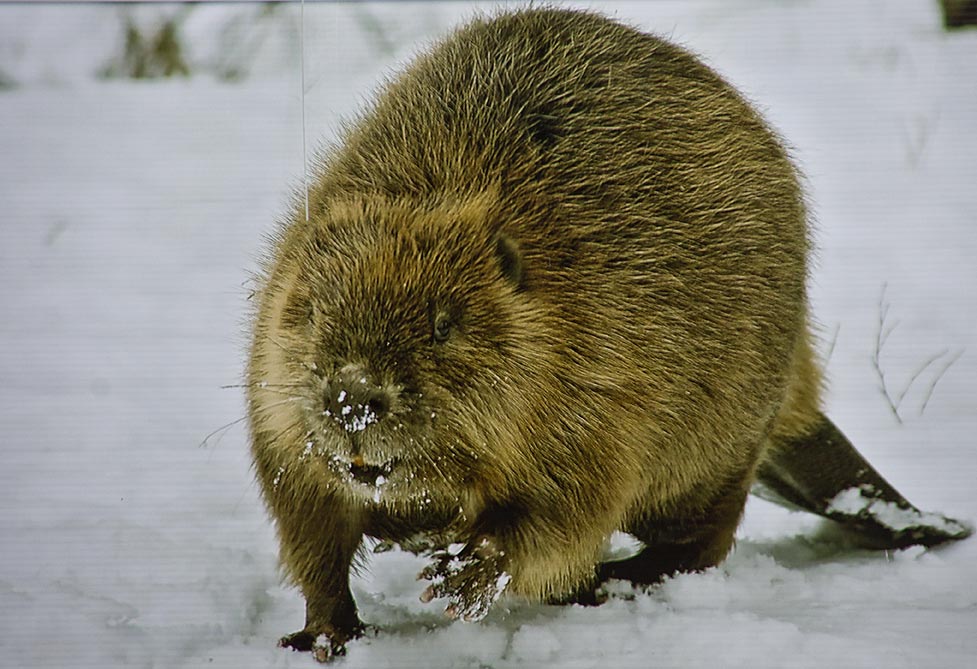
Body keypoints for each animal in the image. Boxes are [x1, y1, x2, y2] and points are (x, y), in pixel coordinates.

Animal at [246, 7, 968, 660]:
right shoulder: (275, 409)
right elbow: (310, 521)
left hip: (726, 433)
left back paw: (609, 580)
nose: (353, 398)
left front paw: (459, 574)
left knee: (700, 541)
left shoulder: (604, 382)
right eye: (315, 313)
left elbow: (564, 512)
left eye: (444, 324)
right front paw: (323, 632)